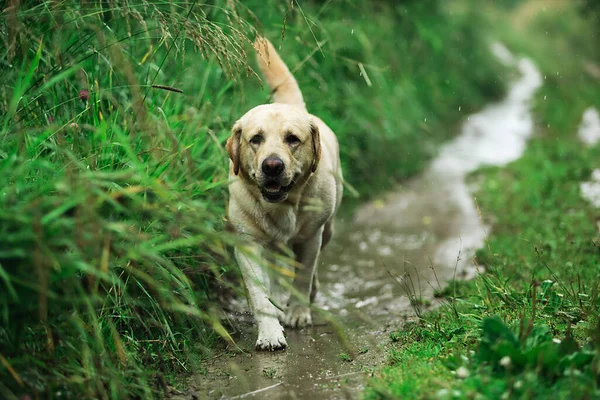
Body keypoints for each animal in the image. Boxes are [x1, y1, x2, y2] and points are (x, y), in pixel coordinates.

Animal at [225, 37, 342, 350]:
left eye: (292, 139)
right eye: (256, 139)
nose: (272, 166)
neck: (283, 206)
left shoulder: (311, 238)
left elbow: (302, 277)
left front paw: (298, 313)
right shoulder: (247, 243)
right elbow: (259, 294)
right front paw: (269, 332)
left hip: (328, 230)